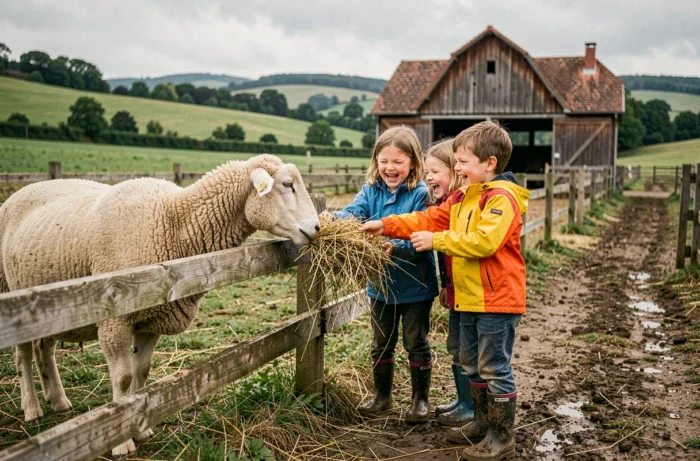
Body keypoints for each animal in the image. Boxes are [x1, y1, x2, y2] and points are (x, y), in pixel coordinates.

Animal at [0, 154, 320, 456]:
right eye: (287, 184)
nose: (317, 227)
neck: (175, 220)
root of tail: (21, 191)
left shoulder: (150, 319)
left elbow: (142, 372)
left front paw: (141, 428)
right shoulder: (114, 319)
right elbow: (124, 379)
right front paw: (122, 443)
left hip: (51, 306)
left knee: (44, 348)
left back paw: (58, 400)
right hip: (15, 297)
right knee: (22, 354)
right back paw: (31, 408)